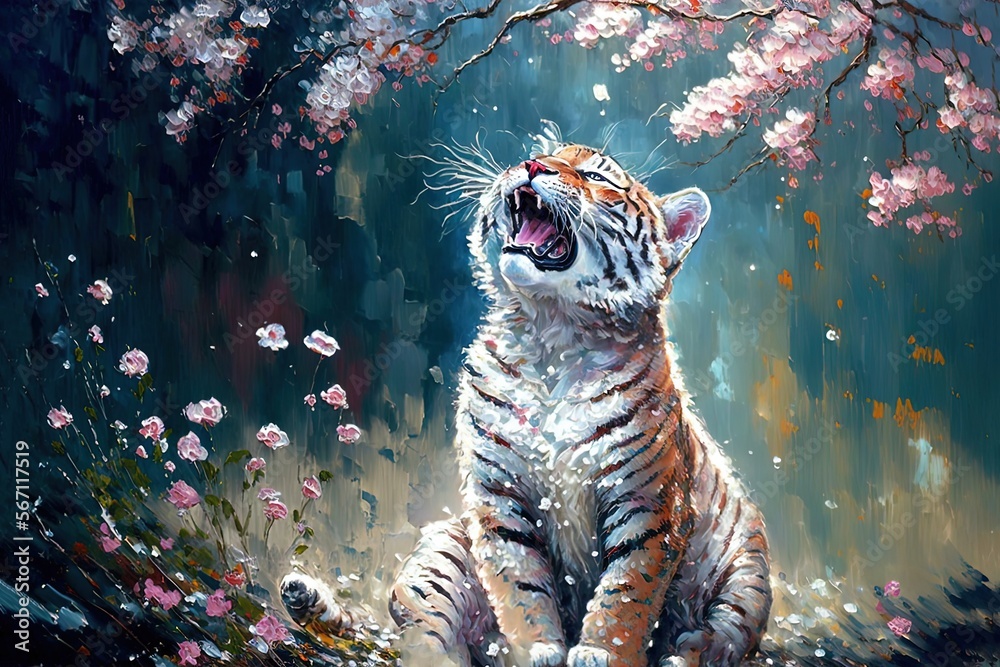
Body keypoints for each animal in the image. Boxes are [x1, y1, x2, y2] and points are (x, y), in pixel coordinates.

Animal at [283, 135, 772, 667]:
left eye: (597, 177)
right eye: (545, 152)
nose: (531, 165)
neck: (550, 337)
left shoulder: (648, 504)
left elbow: (626, 593)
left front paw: (599, 651)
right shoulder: (500, 496)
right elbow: (518, 583)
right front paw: (537, 649)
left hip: (748, 573)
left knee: (726, 633)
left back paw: (686, 649)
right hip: (441, 557)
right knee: (423, 636)